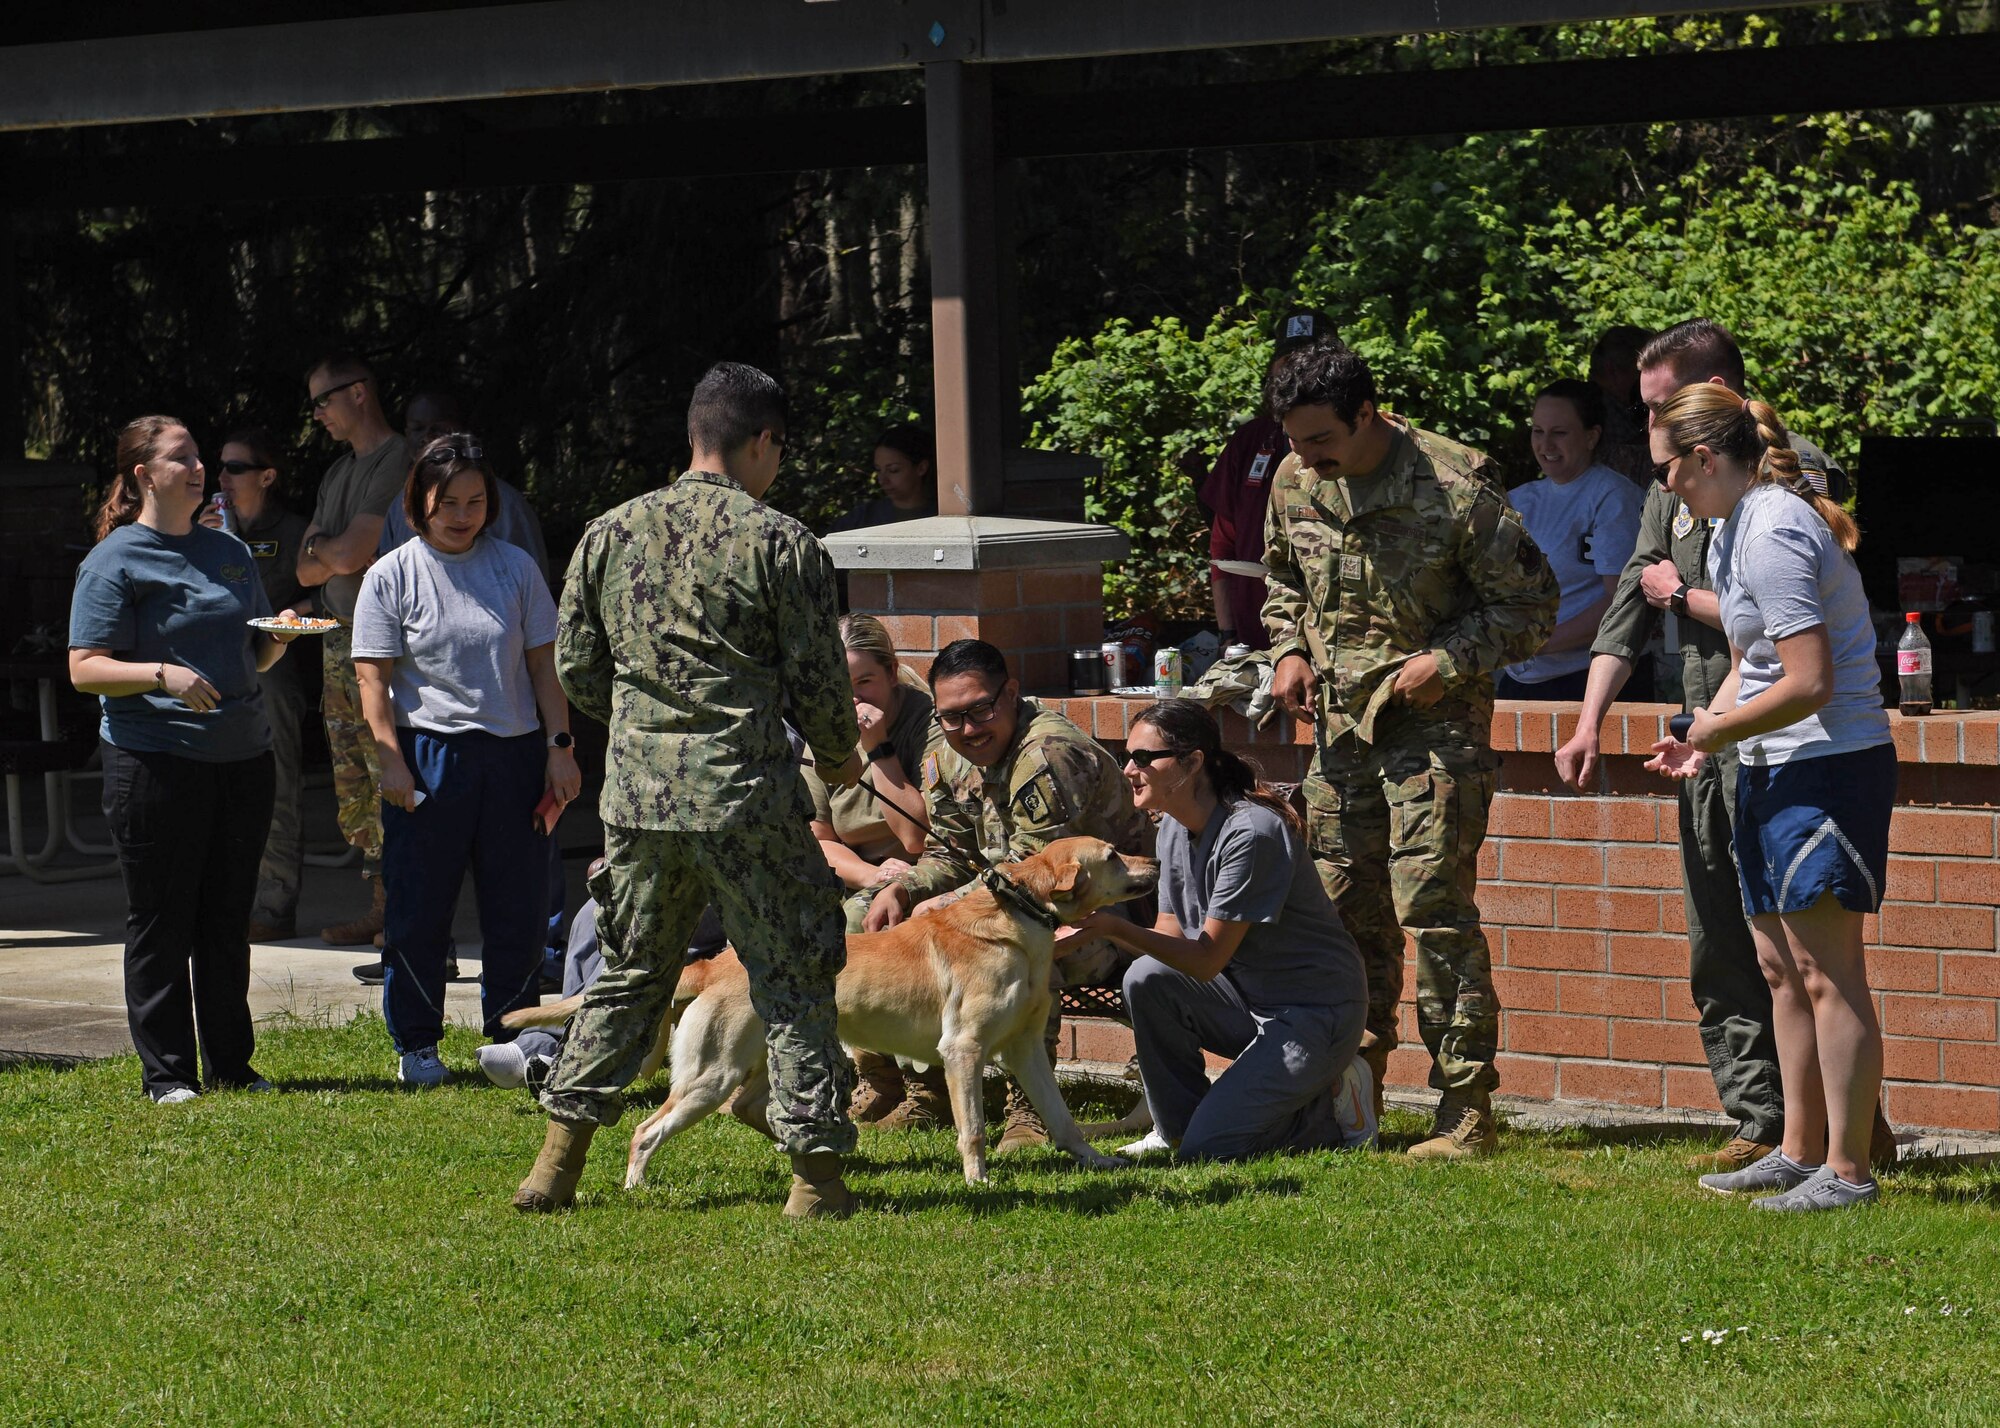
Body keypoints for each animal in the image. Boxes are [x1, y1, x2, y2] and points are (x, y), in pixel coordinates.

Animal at [508, 828, 1160, 1184]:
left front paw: (1097, 1163)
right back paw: (635, 1185)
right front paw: (978, 1181)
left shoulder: (1025, 1050)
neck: (1019, 920)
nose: (1152, 859)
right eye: (1113, 854)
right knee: (648, 1129)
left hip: (752, 1064)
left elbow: (1063, 1119)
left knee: (750, 1108)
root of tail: (714, 960)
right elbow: (973, 1128)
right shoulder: (964, 1050)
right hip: (711, 1072)